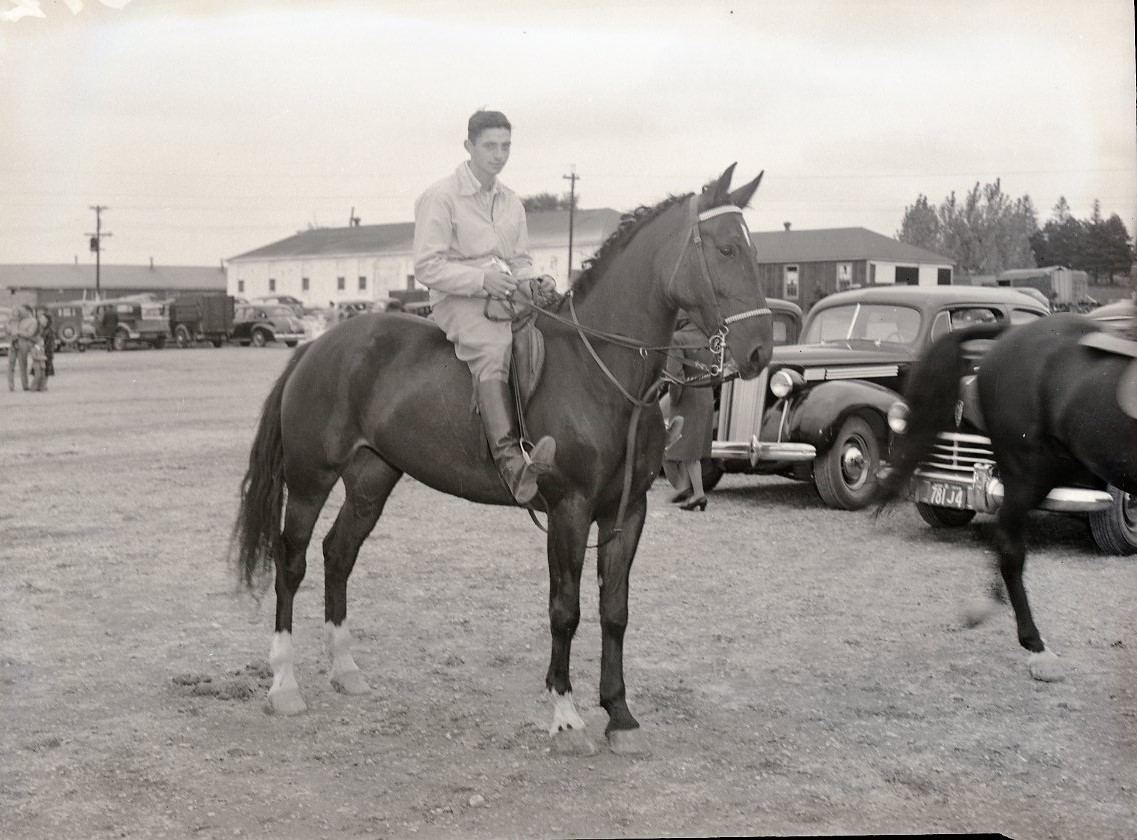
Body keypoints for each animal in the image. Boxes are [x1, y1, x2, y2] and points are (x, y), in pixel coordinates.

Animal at [230, 164, 773, 754]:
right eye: (724, 249)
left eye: (753, 250)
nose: (761, 351)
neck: (601, 371)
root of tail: (316, 346)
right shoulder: (569, 511)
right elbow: (566, 610)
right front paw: (567, 715)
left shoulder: (627, 512)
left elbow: (615, 611)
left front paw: (620, 714)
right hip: (311, 480)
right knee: (292, 562)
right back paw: (284, 684)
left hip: (372, 479)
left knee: (338, 554)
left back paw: (345, 669)